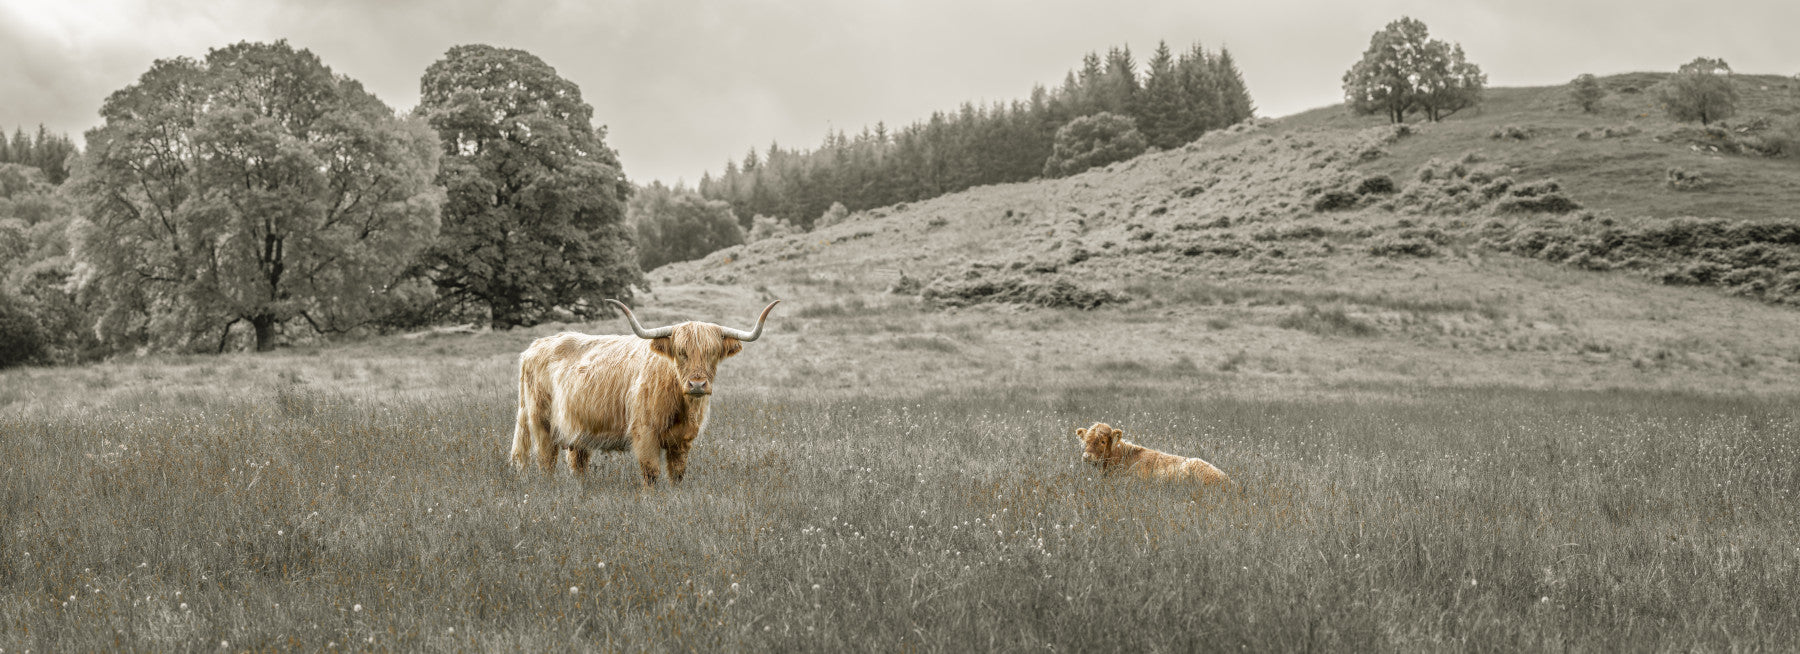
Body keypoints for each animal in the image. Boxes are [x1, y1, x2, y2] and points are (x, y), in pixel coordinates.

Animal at [510, 298, 780, 487]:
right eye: (681, 352)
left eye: (712, 353)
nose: (697, 385)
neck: (682, 407)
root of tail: (534, 347)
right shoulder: (645, 433)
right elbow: (651, 473)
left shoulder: (683, 440)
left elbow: (677, 474)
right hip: (541, 422)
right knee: (546, 460)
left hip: (577, 430)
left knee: (577, 463)